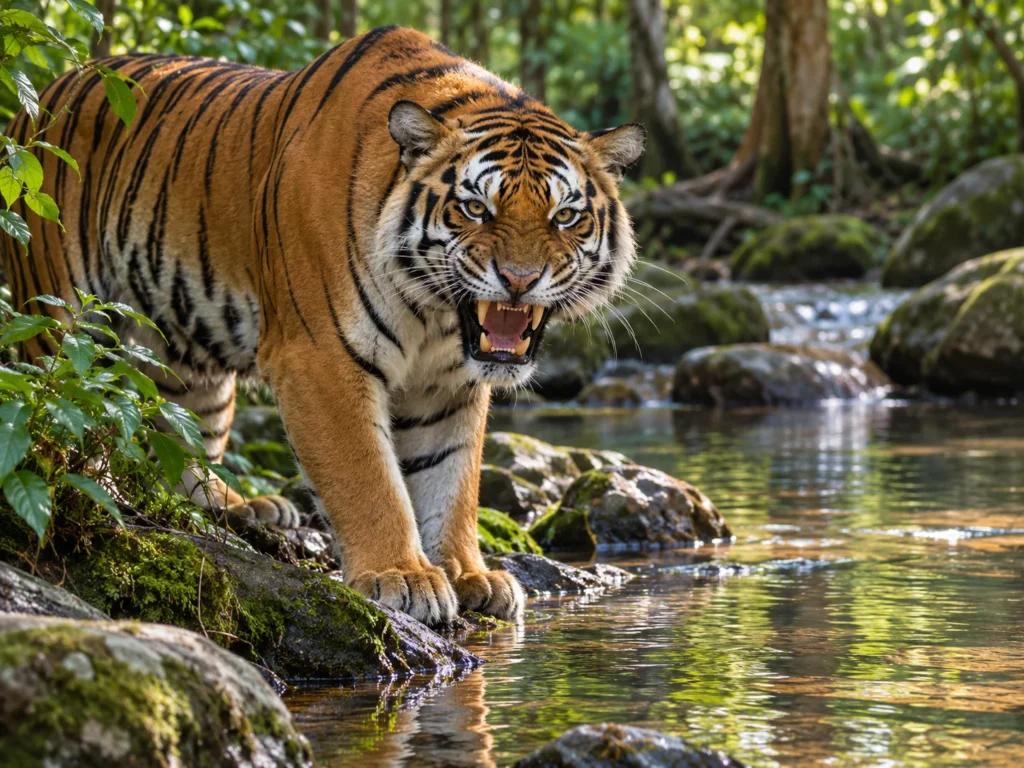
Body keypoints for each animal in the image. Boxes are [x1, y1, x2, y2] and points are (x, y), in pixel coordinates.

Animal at [1, 26, 645, 624]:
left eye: (566, 216)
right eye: (475, 208)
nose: (518, 279)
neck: (436, 314)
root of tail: (50, 89)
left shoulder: (448, 384)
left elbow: (451, 479)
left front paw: (469, 574)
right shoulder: (321, 357)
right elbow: (369, 477)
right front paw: (403, 576)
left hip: (188, 357)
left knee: (175, 435)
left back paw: (243, 506)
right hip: (55, 316)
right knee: (61, 419)